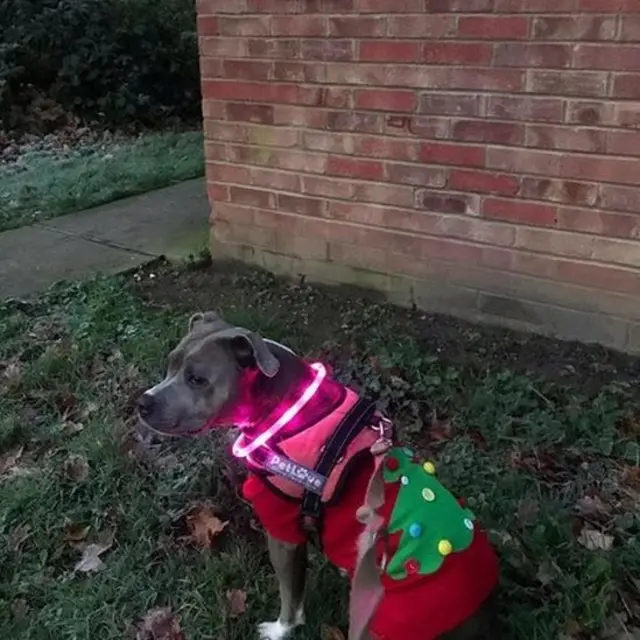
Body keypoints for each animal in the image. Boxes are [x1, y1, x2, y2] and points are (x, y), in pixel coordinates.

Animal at [139, 312, 500, 640]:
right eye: (170, 364)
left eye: (197, 379)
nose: (143, 402)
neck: (288, 408)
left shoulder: (283, 530)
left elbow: (290, 595)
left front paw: (280, 629)